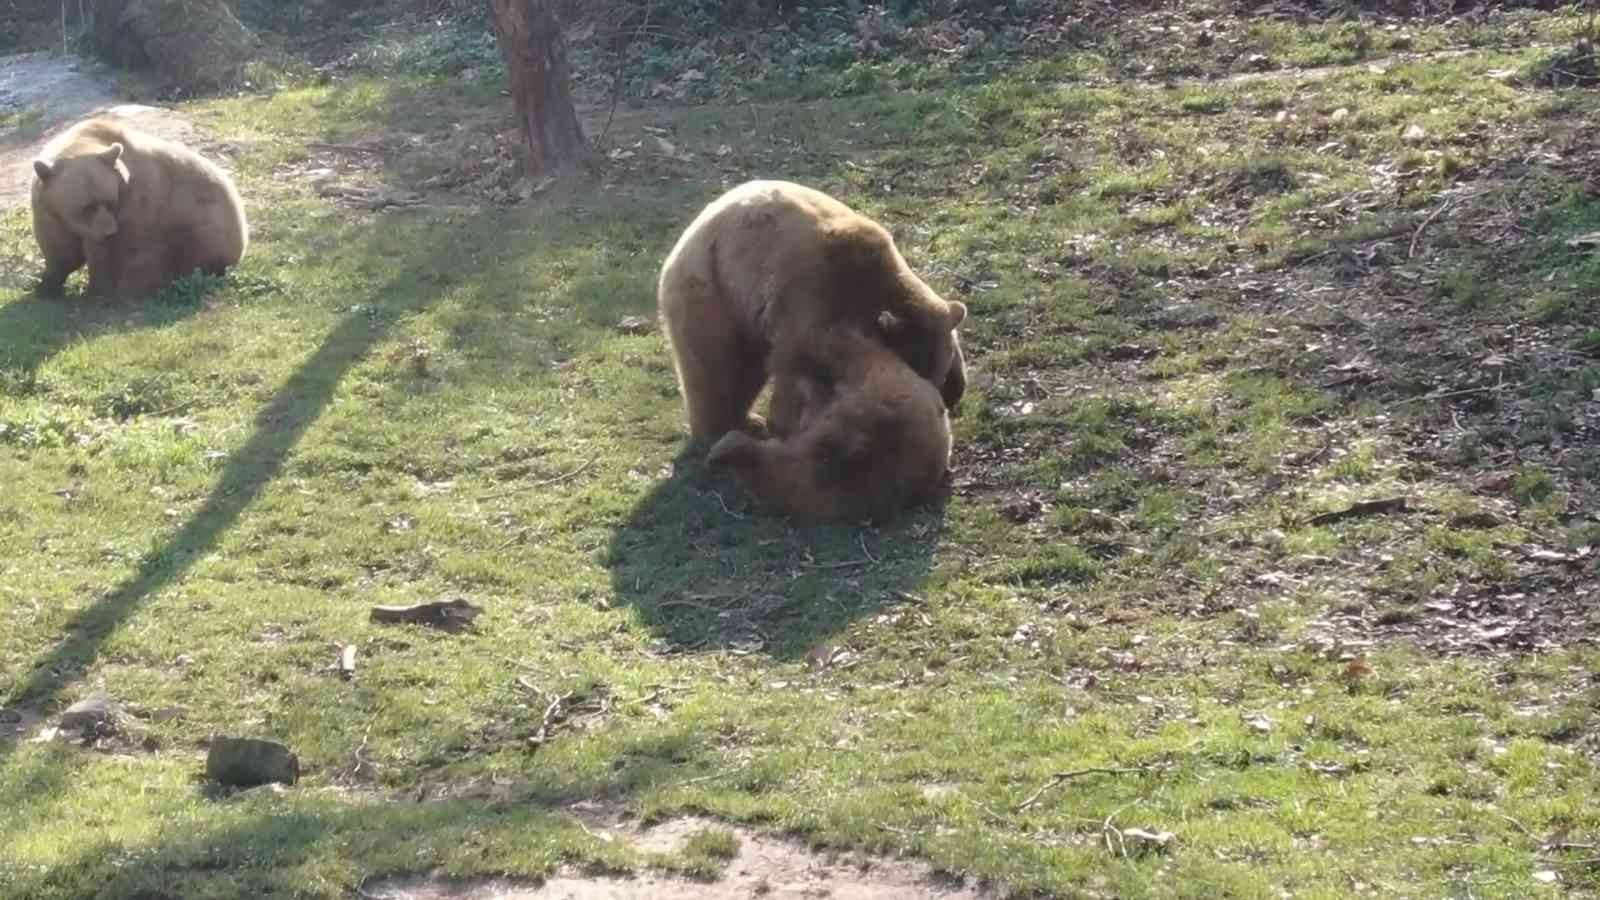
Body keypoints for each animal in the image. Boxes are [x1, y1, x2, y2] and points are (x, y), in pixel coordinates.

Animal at [31, 113, 248, 297]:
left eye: (110, 201)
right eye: (87, 207)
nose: (110, 232)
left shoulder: (136, 201)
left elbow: (118, 252)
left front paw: (100, 290)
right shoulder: (49, 210)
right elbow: (61, 250)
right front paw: (47, 285)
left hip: (204, 220)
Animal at [656, 178, 966, 445]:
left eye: (938, 374)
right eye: (915, 370)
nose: (936, 403)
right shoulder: (812, 296)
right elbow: (797, 362)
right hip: (714, 293)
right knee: (716, 368)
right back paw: (724, 428)